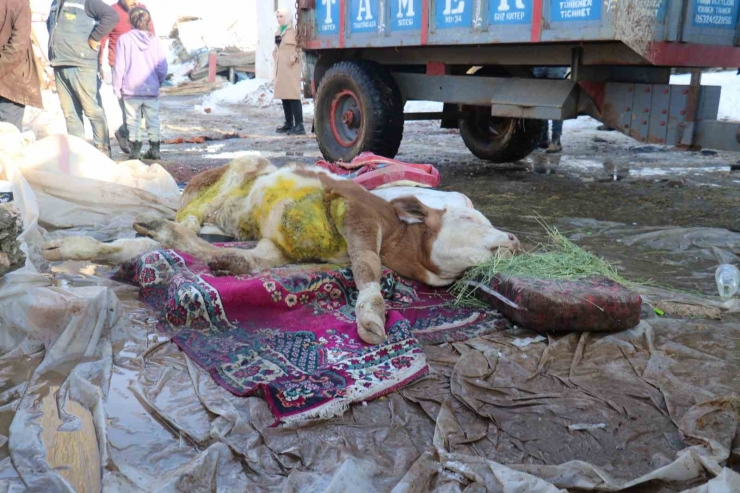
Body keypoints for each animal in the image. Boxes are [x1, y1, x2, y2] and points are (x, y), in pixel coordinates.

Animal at [42, 157, 520, 342]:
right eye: (471, 220)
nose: (514, 239)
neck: (396, 236)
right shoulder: (357, 212)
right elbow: (368, 267)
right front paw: (371, 319)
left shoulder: (278, 249)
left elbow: (254, 260)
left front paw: (227, 262)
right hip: (230, 177)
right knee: (185, 223)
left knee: (136, 243)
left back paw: (65, 246)